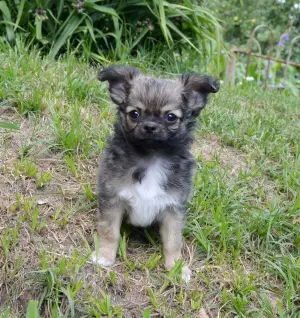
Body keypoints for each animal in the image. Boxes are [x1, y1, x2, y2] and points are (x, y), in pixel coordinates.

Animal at [91, 65, 218, 280]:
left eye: (171, 117)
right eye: (134, 114)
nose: (150, 126)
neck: (152, 157)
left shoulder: (174, 208)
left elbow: (173, 242)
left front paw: (176, 267)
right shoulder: (112, 199)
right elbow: (109, 231)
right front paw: (104, 256)